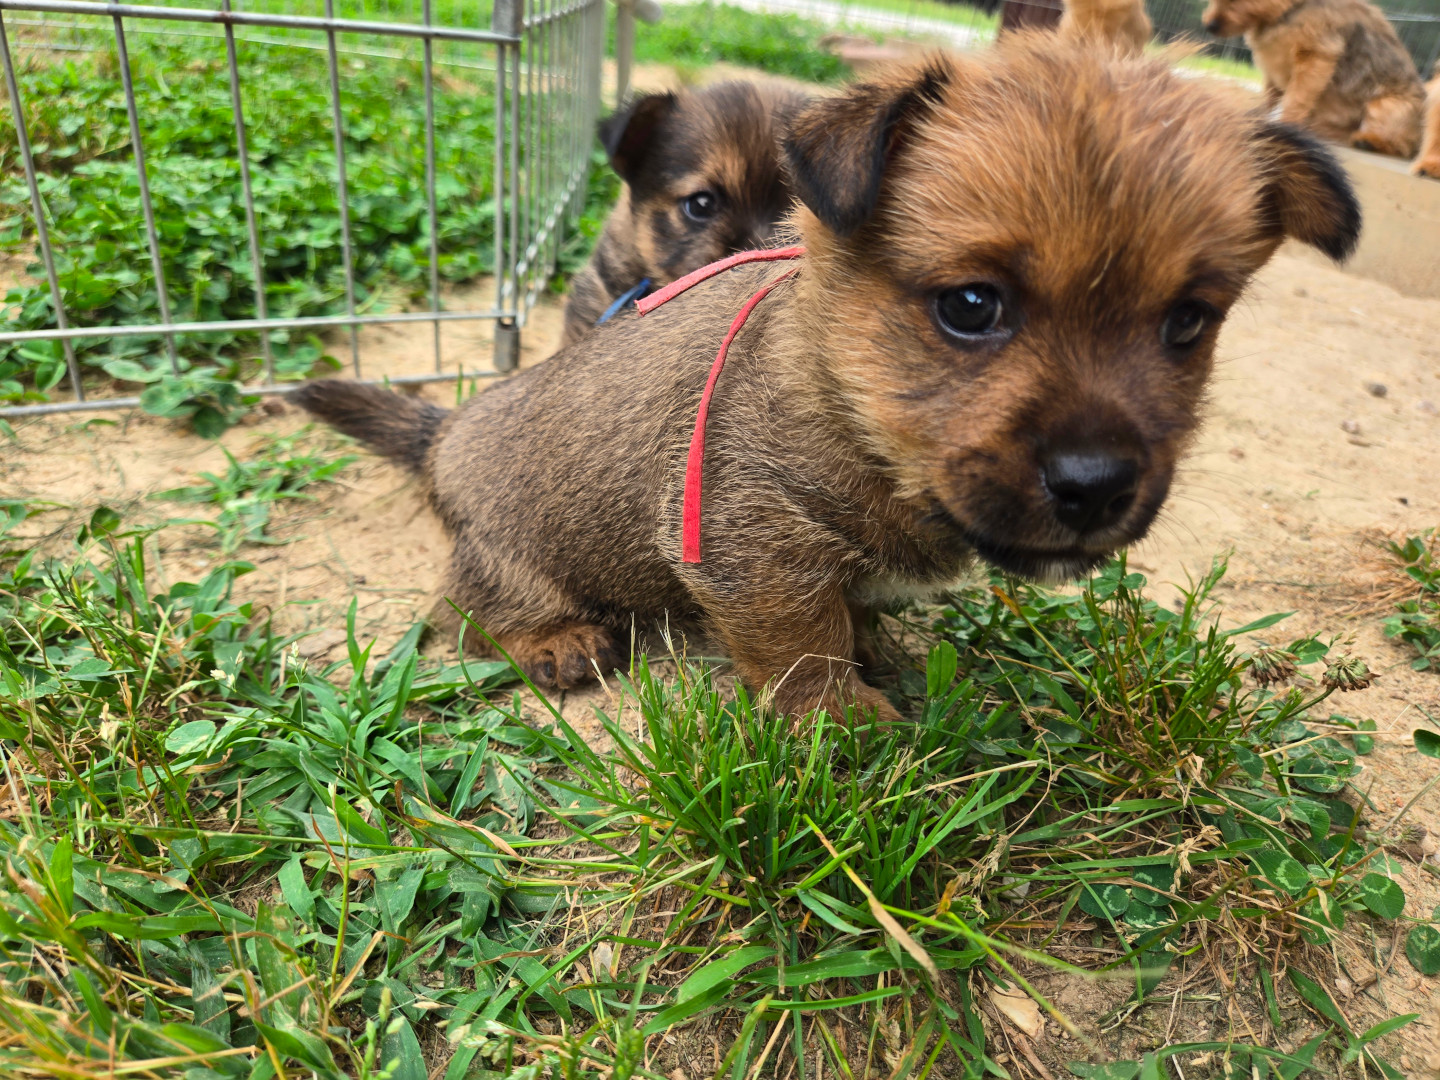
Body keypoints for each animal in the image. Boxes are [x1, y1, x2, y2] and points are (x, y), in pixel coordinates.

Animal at [1202, 0, 1424, 159]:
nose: (1209, 25)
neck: (1289, 9)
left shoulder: (1315, 58)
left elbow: (1296, 100)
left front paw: (1285, 126)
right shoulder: (1274, 72)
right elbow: (1269, 98)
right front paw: (1259, 117)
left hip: (1388, 105)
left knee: (1400, 145)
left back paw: (1368, 140)